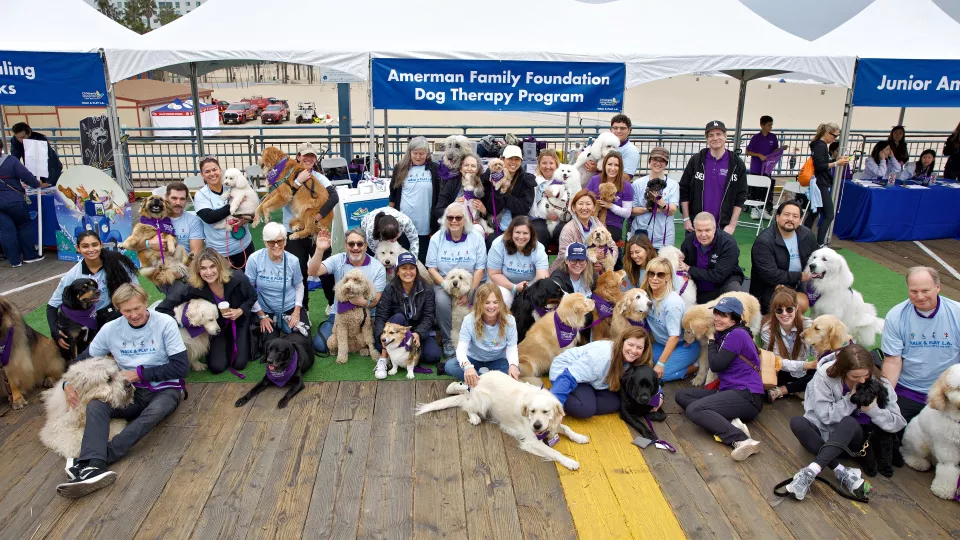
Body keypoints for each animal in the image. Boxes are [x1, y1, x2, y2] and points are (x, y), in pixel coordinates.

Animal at [414, 372, 588, 468]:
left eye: (546, 411)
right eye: (532, 411)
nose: (537, 426)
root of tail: (478, 379)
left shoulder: (552, 424)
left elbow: (566, 428)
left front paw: (579, 437)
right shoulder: (532, 442)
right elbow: (554, 452)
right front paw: (570, 462)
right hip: (483, 401)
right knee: (467, 406)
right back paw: (474, 417)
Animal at [900, 364, 960, 500]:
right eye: (957, 388)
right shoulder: (948, 448)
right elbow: (948, 468)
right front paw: (944, 490)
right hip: (920, 444)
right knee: (906, 452)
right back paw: (918, 462)